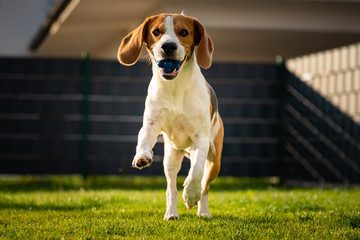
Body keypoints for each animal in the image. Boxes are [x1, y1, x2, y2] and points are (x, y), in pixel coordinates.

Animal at [118, 12, 224, 219]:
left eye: (183, 32)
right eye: (156, 32)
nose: (168, 46)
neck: (175, 86)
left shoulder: (201, 138)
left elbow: (196, 172)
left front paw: (190, 194)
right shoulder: (151, 125)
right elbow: (143, 140)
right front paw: (142, 155)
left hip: (214, 160)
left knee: (205, 185)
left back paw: (203, 211)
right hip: (170, 159)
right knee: (171, 188)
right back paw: (171, 213)